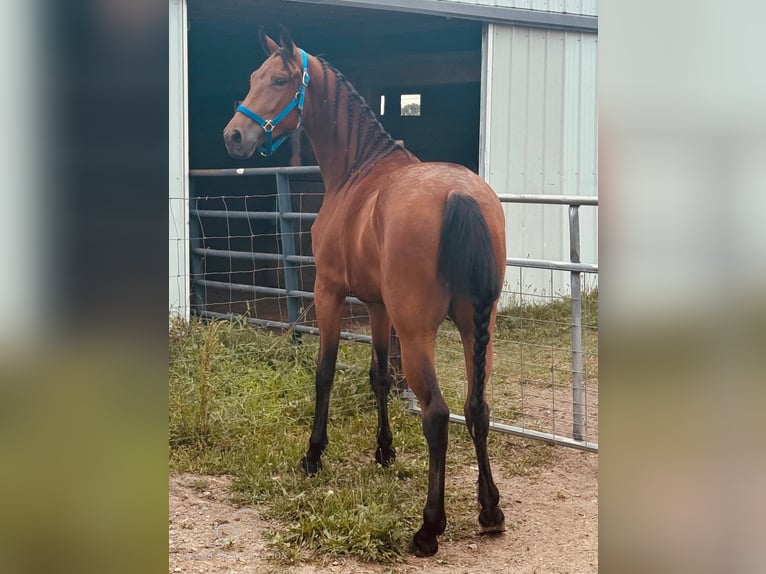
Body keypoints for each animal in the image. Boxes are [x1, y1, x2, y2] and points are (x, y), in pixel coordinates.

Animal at [224, 25, 510, 560]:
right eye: (252, 77)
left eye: (278, 80)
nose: (233, 136)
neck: (358, 172)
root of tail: (460, 195)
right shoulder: (378, 307)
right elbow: (380, 376)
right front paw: (384, 451)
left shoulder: (330, 293)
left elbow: (325, 373)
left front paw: (313, 456)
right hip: (476, 327)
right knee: (476, 408)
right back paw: (489, 512)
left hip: (419, 332)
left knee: (437, 413)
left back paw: (428, 528)